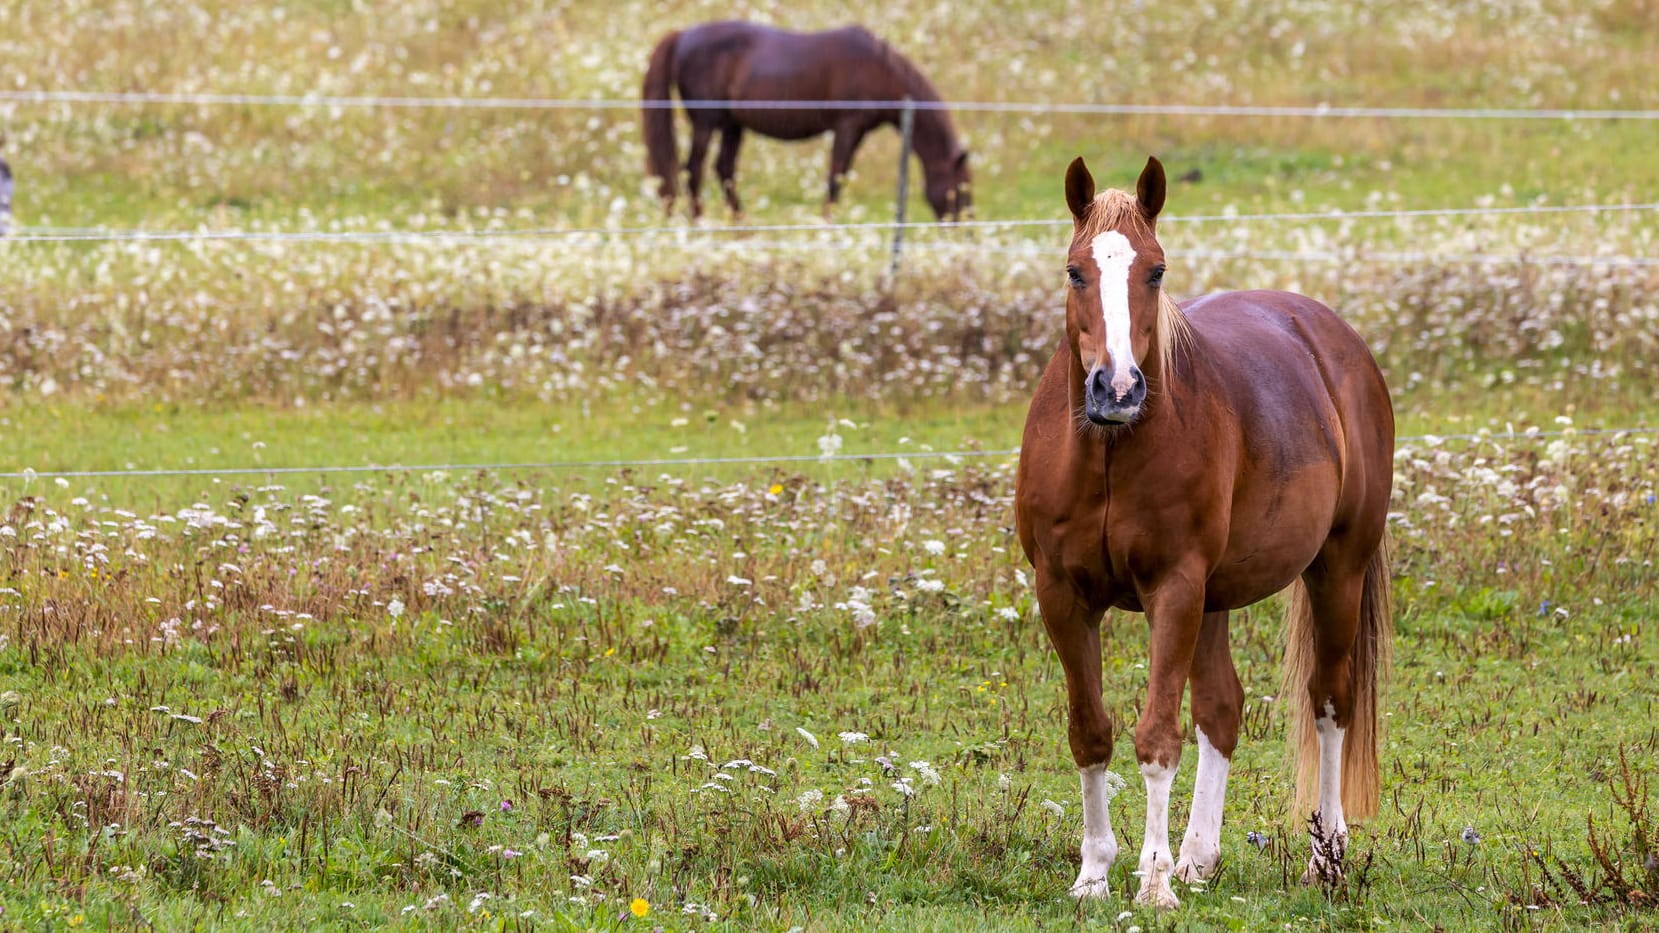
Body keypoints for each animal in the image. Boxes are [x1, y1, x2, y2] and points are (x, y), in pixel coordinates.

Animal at [637, 22, 968, 219]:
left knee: (724, 170)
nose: (964, 226)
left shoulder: (857, 132)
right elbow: (836, 176)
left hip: (733, 126)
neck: (879, 69)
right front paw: (827, 224)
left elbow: (838, 176)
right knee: (693, 169)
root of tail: (681, 35)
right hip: (706, 123)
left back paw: (741, 227)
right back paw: (700, 224)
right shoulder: (848, 127)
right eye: (961, 187)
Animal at [1015, 156, 1393, 903]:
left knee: (1329, 703)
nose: (1117, 388)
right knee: (1222, 708)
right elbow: (1090, 732)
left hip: (1333, 570)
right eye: (1075, 271)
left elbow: (1156, 737)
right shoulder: (1062, 597)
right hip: (1214, 598)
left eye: (1155, 271)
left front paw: (1152, 882)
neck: (1110, 451)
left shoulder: (1173, 589)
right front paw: (1095, 873)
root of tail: (1334, 341)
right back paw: (1199, 856)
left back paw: (1325, 858)